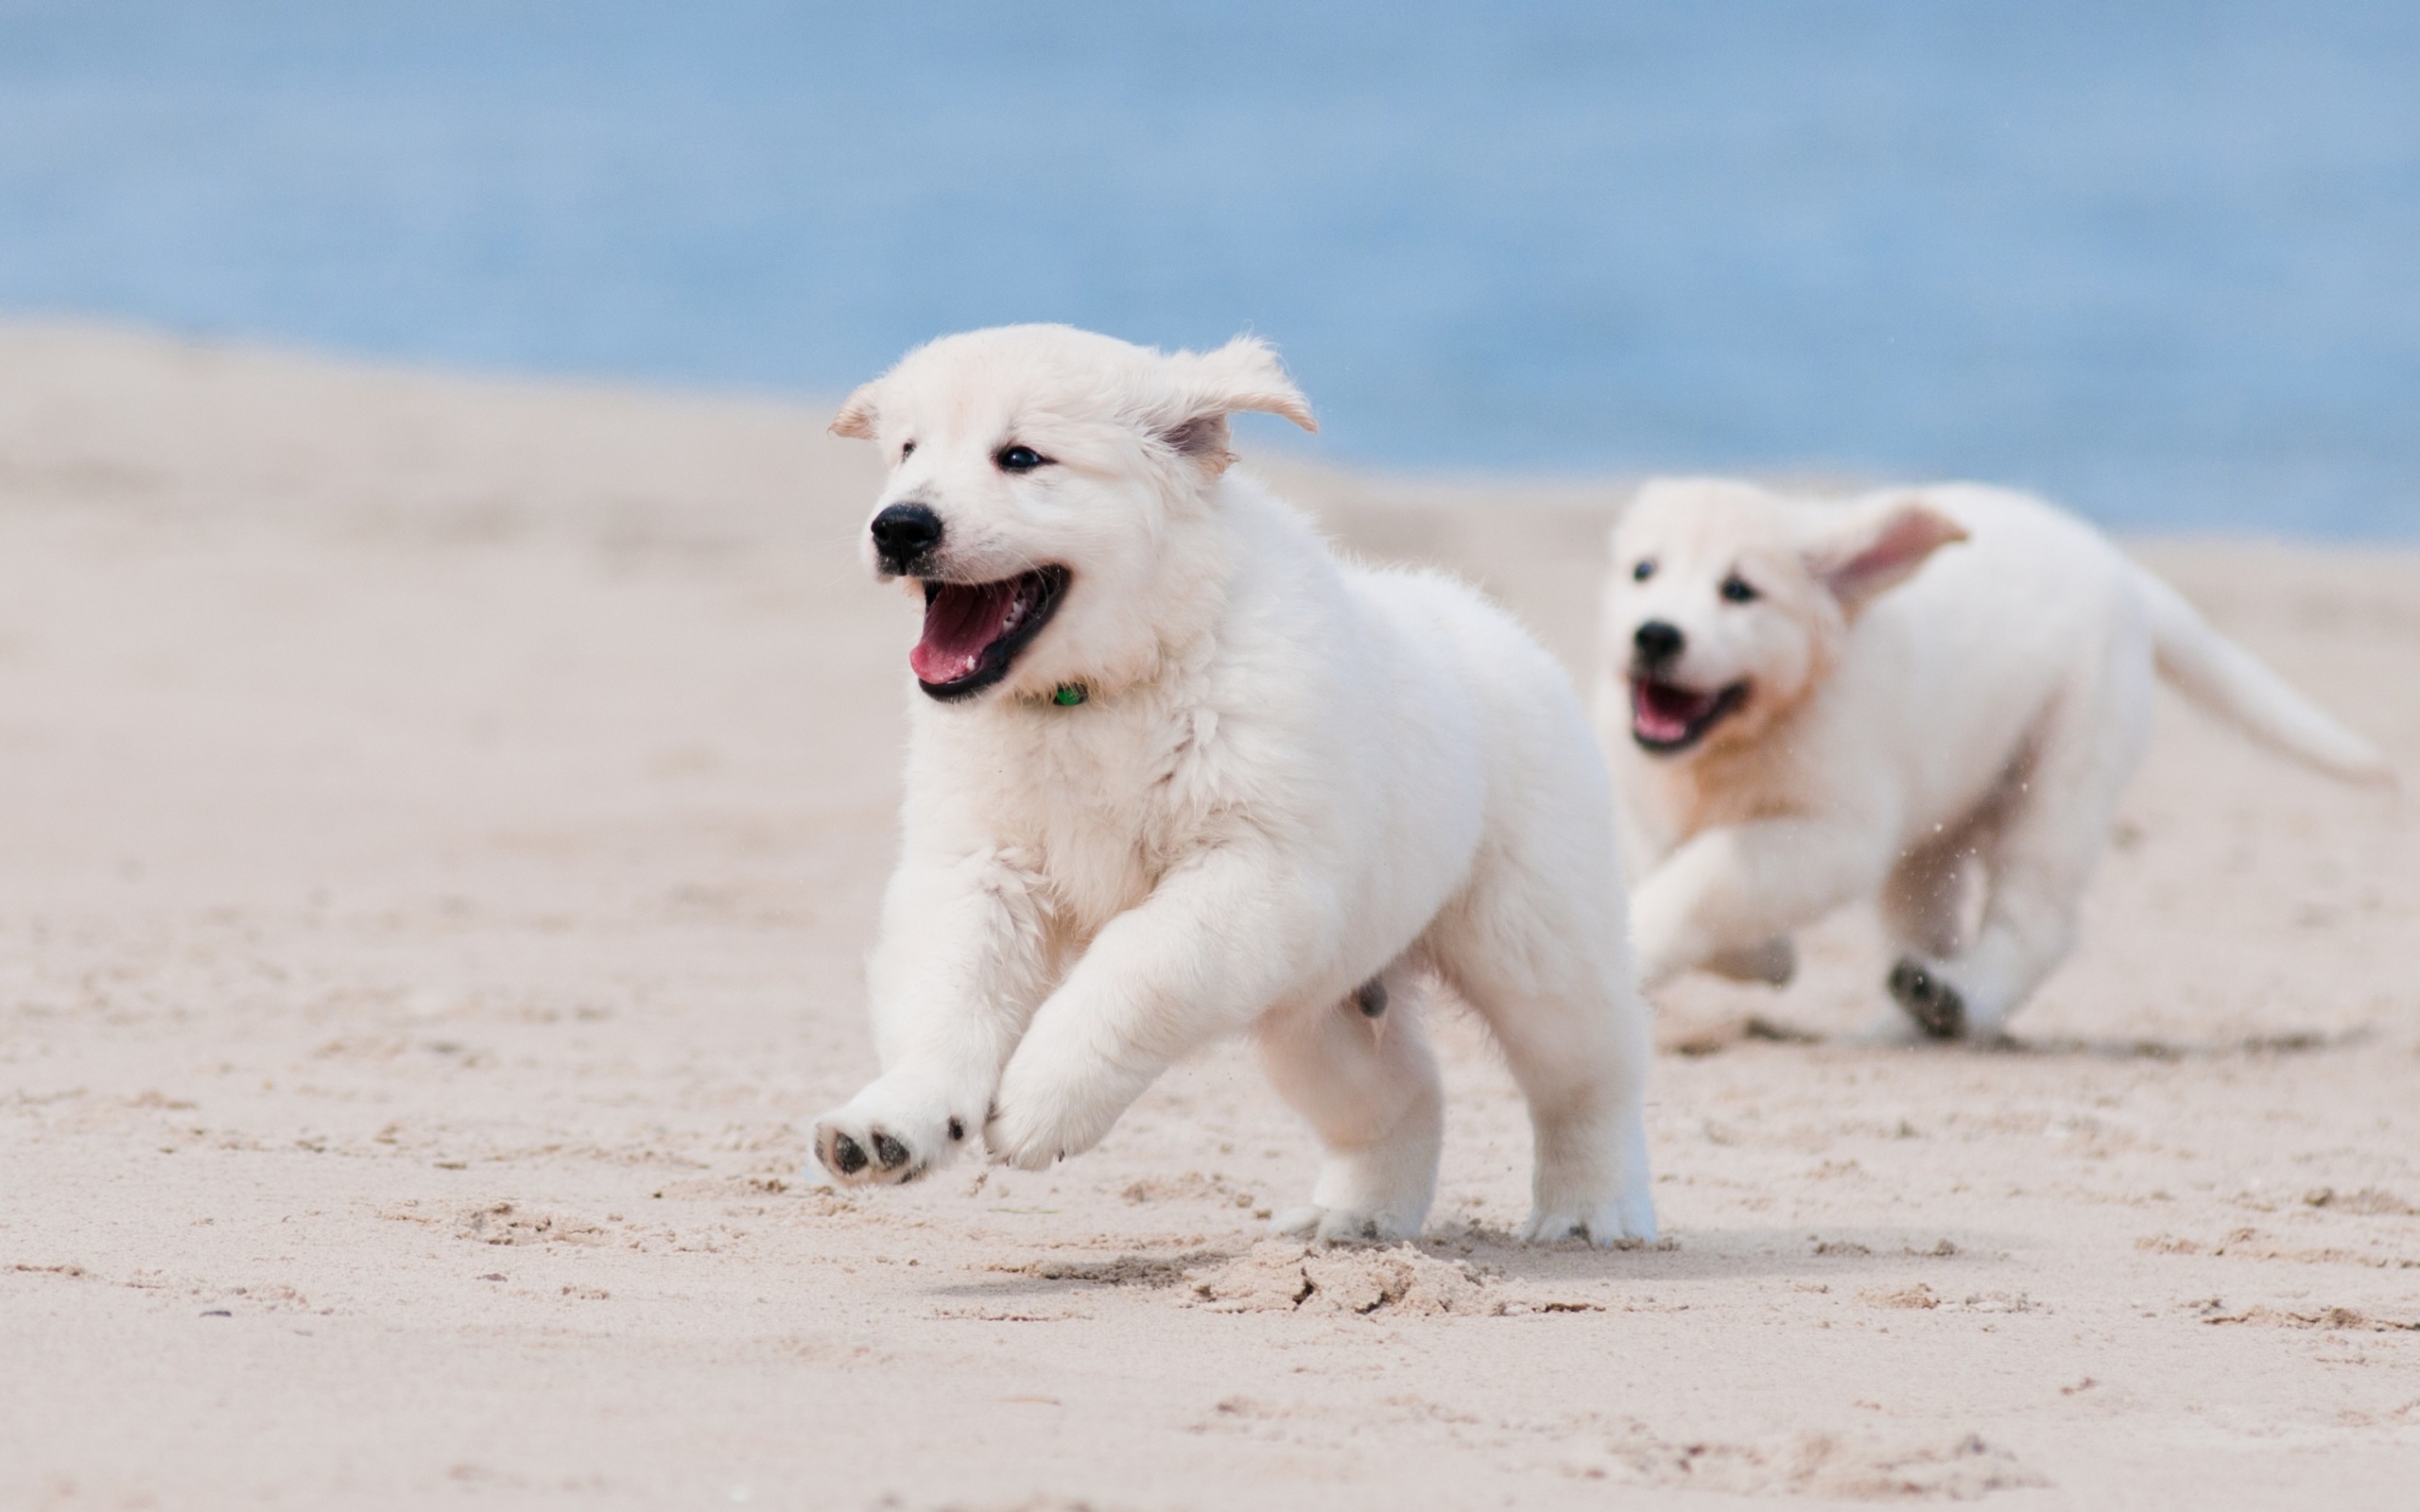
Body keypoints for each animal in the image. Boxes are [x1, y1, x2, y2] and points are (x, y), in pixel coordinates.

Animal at [803, 326, 1655, 1238]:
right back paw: (1353, 1221)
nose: (898, 527)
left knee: (1591, 1075)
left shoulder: (1255, 870)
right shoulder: (978, 865)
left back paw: (1592, 1211)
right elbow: (947, 989)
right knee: (1401, 1095)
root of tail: (1499, 627)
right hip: (1316, 1006)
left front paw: (1041, 1100)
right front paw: (895, 1120)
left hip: (1533, 942)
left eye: (1022, 457)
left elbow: (1136, 968)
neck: (1096, 695)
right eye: (907, 452)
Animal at [1597, 481, 2391, 1035]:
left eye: (1740, 591)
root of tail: (2118, 566)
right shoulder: (1637, 802)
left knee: (2036, 920)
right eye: (1643, 571)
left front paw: (1658, 947)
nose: (1655, 635)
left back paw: (1961, 999)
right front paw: (1766, 957)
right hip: (1932, 836)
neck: (1738, 740)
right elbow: (1669, 868)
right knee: (1930, 925)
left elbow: (1702, 878)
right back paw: (1911, 1013)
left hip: (2065, 771)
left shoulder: (1836, 831)